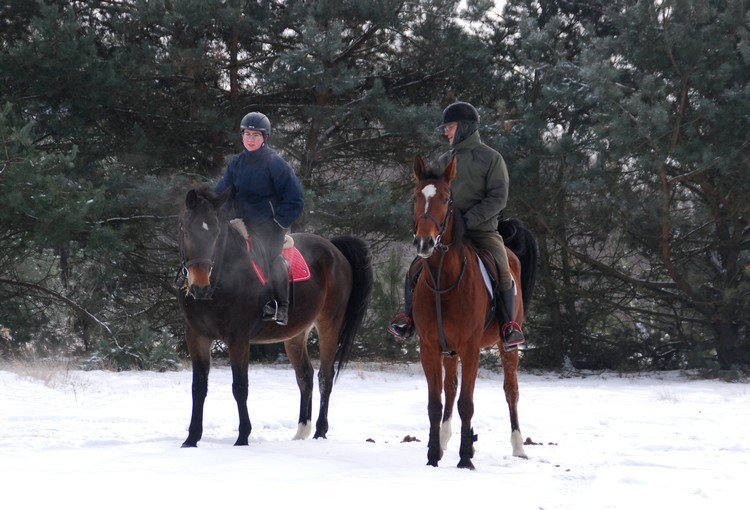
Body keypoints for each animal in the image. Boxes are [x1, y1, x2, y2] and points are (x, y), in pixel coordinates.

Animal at [177, 186, 376, 446]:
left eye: (216, 233)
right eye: (185, 230)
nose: (199, 285)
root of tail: (334, 249)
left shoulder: (238, 338)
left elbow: (240, 386)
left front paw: (243, 436)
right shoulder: (197, 337)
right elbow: (199, 387)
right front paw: (191, 438)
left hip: (329, 324)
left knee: (325, 376)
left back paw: (320, 431)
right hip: (296, 334)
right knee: (305, 376)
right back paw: (301, 431)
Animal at [412, 156, 536, 470]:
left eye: (446, 198)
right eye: (416, 197)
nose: (424, 243)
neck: (444, 279)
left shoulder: (470, 349)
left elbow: (466, 404)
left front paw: (465, 458)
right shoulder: (429, 348)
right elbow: (436, 403)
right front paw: (433, 455)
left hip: (507, 347)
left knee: (511, 391)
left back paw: (518, 446)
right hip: (449, 351)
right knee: (451, 388)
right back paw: (444, 440)